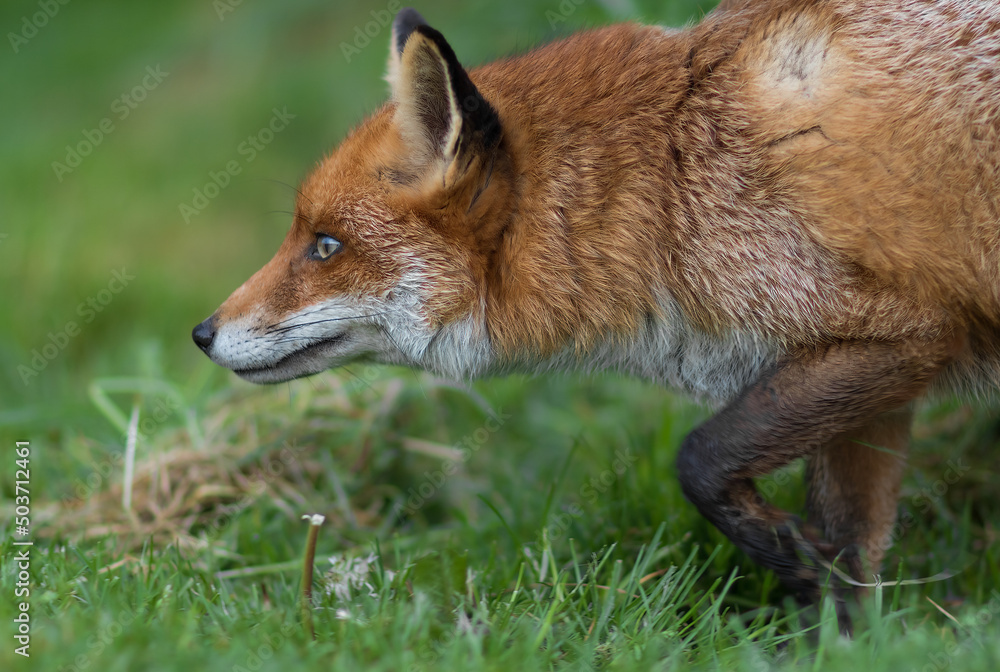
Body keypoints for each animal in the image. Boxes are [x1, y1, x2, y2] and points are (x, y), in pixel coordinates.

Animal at [193, 0, 1000, 617]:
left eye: (324, 245)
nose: (202, 333)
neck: (675, 176)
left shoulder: (898, 334)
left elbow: (701, 459)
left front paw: (794, 564)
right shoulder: (866, 371)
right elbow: (852, 550)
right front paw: (837, 635)